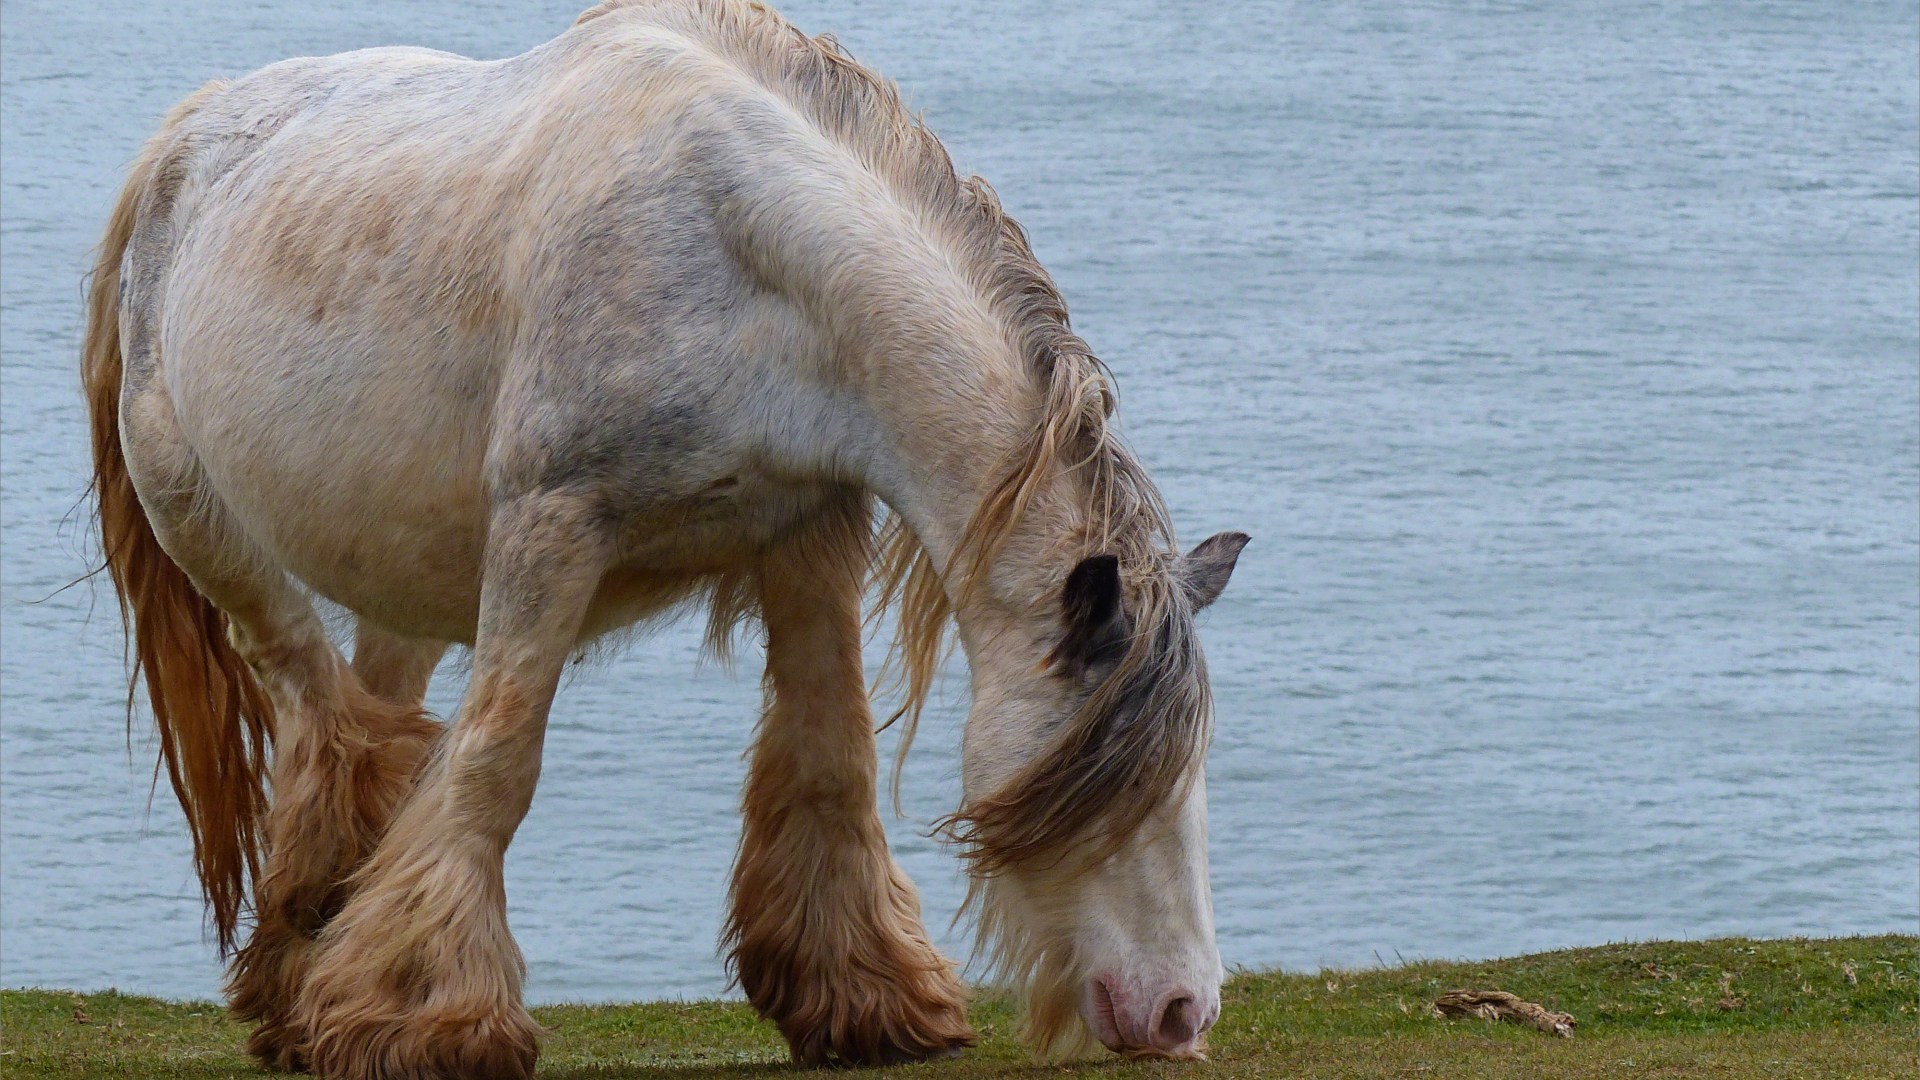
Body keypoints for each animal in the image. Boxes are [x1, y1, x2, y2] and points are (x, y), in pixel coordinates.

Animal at [83, 2, 1249, 1077]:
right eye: (1110, 780)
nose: (1182, 1010)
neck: (738, 250)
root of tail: (187, 138)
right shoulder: (549, 528)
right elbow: (496, 763)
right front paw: (428, 1019)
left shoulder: (808, 535)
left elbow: (829, 762)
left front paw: (865, 996)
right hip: (206, 526)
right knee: (322, 708)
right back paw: (320, 925)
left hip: (400, 583)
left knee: (373, 706)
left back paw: (309, 978)